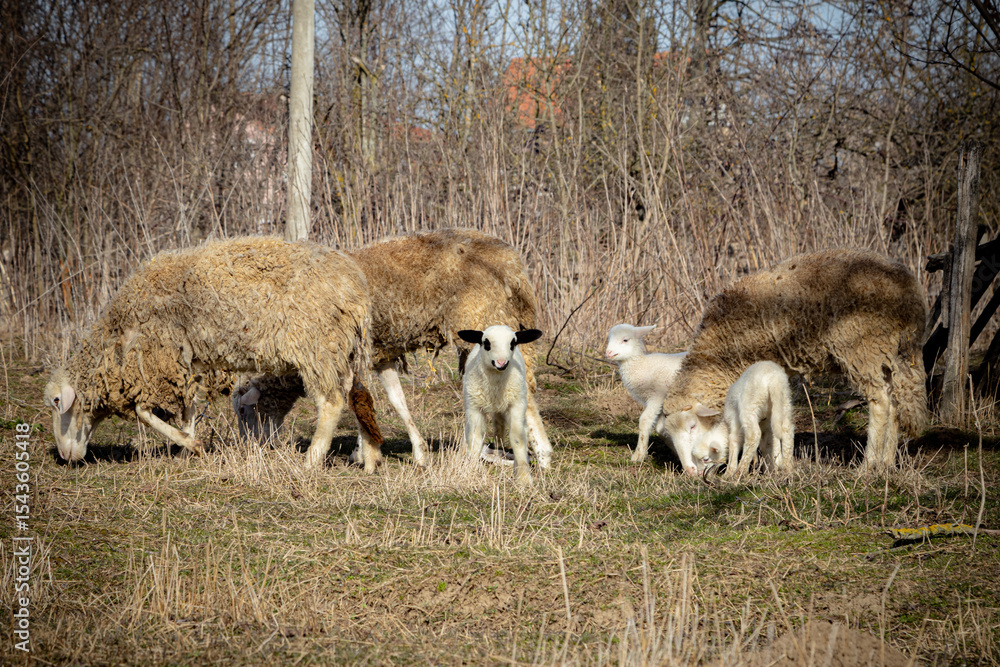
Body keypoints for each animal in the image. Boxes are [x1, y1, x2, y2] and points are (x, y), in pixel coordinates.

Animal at [43, 236, 384, 471]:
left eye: (57, 402)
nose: (64, 456)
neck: (117, 333)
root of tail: (356, 287)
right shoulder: (186, 363)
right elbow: (189, 408)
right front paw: (187, 448)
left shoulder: (157, 361)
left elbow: (143, 410)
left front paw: (190, 444)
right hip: (343, 349)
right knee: (357, 396)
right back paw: (369, 458)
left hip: (316, 347)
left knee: (331, 402)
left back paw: (311, 460)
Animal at [458, 325, 543, 484]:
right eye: (486, 343)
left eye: (513, 343)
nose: (502, 363)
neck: (495, 386)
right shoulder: (474, 408)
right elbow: (475, 437)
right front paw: (470, 471)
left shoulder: (517, 405)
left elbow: (517, 438)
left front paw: (523, 478)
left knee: (500, 427)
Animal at [605, 324, 688, 466]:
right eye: (609, 339)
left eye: (625, 340)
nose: (608, 353)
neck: (642, 366)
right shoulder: (661, 403)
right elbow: (661, 429)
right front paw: (676, 452)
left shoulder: (657, 396)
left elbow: (645, 420)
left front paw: (639, 455)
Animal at [660, 248, 927, 472]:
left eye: (692, 426)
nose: (690, 472)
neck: (719, 355)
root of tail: (909, 289)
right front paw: (774, 463)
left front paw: (770, 463)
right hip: (892, 350)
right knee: (894, 401)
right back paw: (887, 462)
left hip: (861, 346)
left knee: (880, 402)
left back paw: (868, 464)